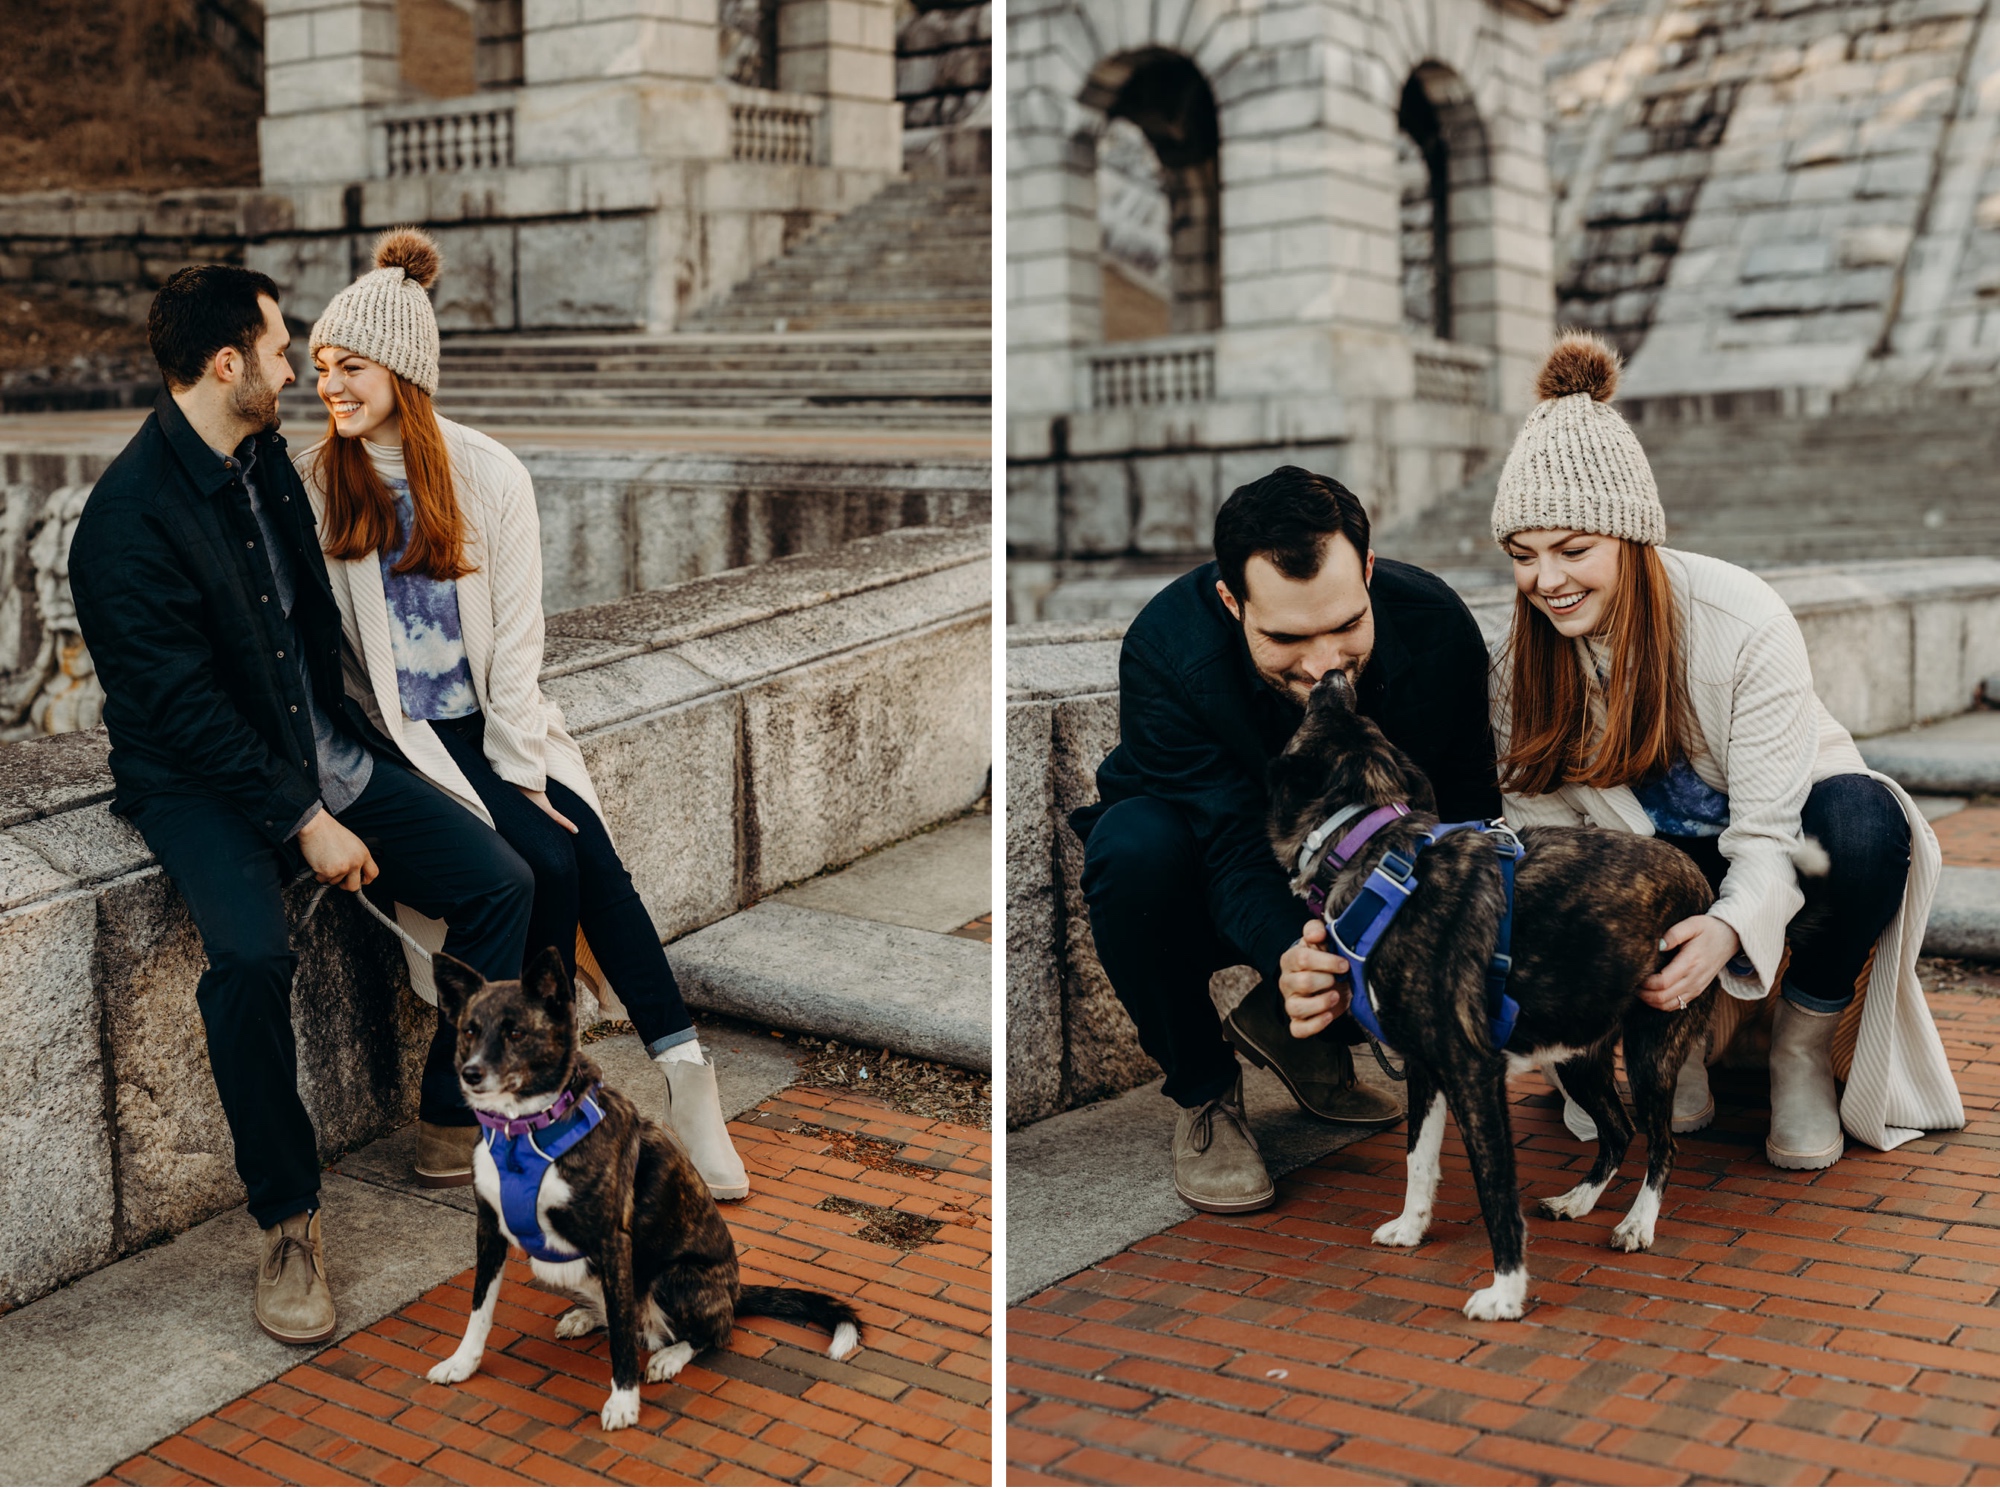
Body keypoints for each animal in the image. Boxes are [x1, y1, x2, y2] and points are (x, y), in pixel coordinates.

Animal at [422, 948, 860, 1424]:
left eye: (516, 1032)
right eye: (469, 1030)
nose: (470, 1074)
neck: (526, 1132)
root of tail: (735, 1292)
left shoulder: (613, 1242)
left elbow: (622, 1340)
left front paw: (623, 1402)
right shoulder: (489, 1230)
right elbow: (479, 1309)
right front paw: (462, 1364)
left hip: (676, 1276)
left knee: (711, 1332)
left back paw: (670, 1355)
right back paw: (585, 1317)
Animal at [1264, 672, 1720, 1312]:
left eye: (1321, 713)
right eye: (1350, 711)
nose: (1333, 678)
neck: (1373, 854)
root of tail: (1701, 880)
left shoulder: (1473, 1073)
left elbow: (1494, 1188)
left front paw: (1506, 1292)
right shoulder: (1425, 1068)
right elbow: (1418, 1158)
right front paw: (1411, 1228)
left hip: (1653, 1046)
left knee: (1661, 1143)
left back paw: (1638, 1224)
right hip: (1576, 1051)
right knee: (1619, 1130)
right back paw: (1579, 1200)